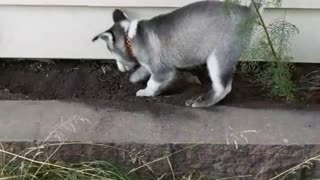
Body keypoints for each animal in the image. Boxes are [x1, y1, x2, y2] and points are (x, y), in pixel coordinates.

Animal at [92, 0, 255, 107]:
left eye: (110, 51)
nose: (119, 69)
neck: (130, 37)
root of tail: (246, 11)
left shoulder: (163, 69)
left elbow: (152, 82)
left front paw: (146, 92)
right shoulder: (152, 64)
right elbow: (143, 70)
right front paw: (135, 77)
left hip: (219, 57)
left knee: (223, 87)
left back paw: (202, 102)